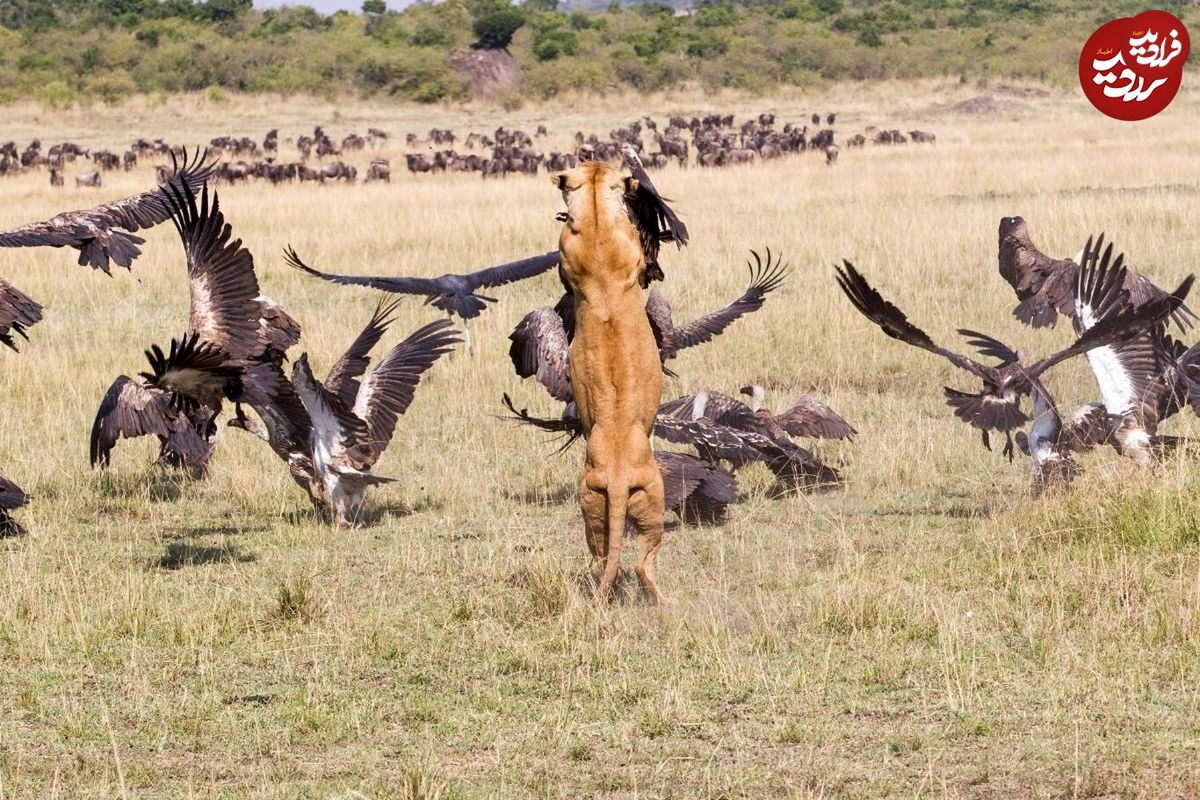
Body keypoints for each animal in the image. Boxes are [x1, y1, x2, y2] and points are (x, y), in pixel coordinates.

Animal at [552, 160, 667, 599]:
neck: (598, 219)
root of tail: (617, 478)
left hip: (591, 500)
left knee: (606, 560)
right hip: (654, 498)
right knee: (639, 563)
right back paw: (663, 601)